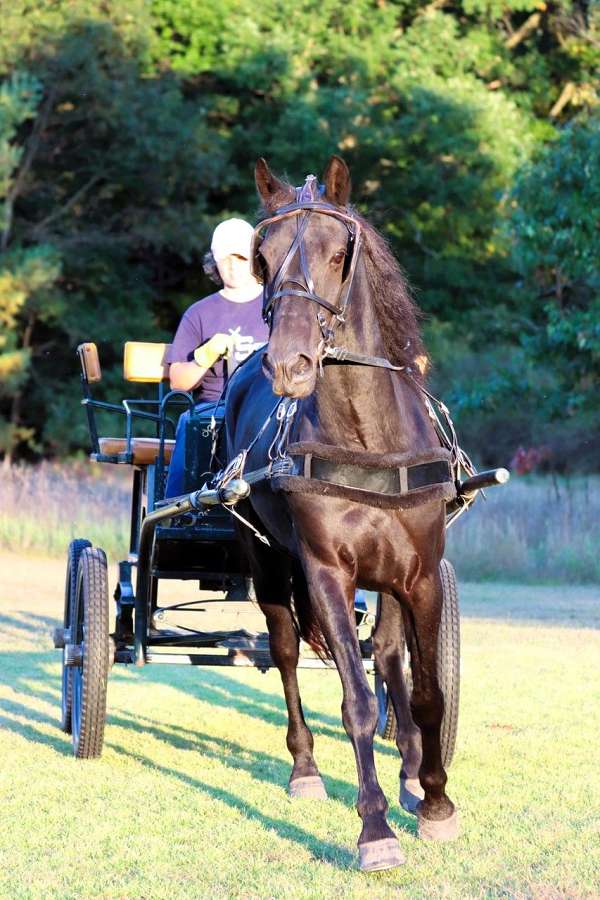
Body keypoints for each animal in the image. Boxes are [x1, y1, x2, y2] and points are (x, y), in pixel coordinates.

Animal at [225, 156, 460, 872]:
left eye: (338, 254)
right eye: (262, 257)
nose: (288, 364)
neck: (367, 438)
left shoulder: (420, 575)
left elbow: (423, 687)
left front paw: (434, 799)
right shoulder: (327, 570)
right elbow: (356, 700)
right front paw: (375, 829)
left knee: (386, 654)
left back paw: (410, 767)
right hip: (269, 561)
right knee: (284, 652)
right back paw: (304, 768)